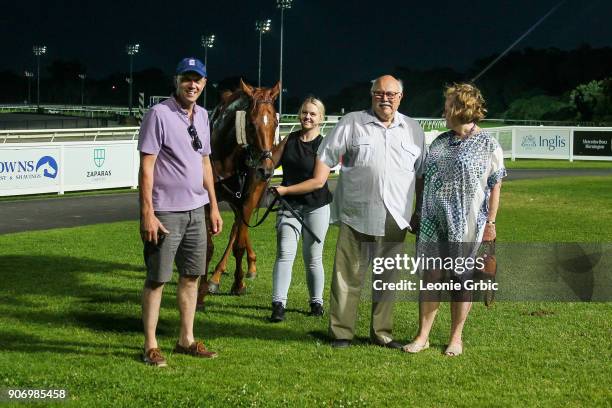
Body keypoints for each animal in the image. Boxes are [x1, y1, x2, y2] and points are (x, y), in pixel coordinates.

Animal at [198, 79, 280, 302]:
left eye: (276, 123)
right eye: (250, 124)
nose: (266, 170)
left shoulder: (249, 196)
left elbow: (239, 244)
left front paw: (238, 283)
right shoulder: (210, 201)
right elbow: (208, 246)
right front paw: (201, 286)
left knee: (237, 228)